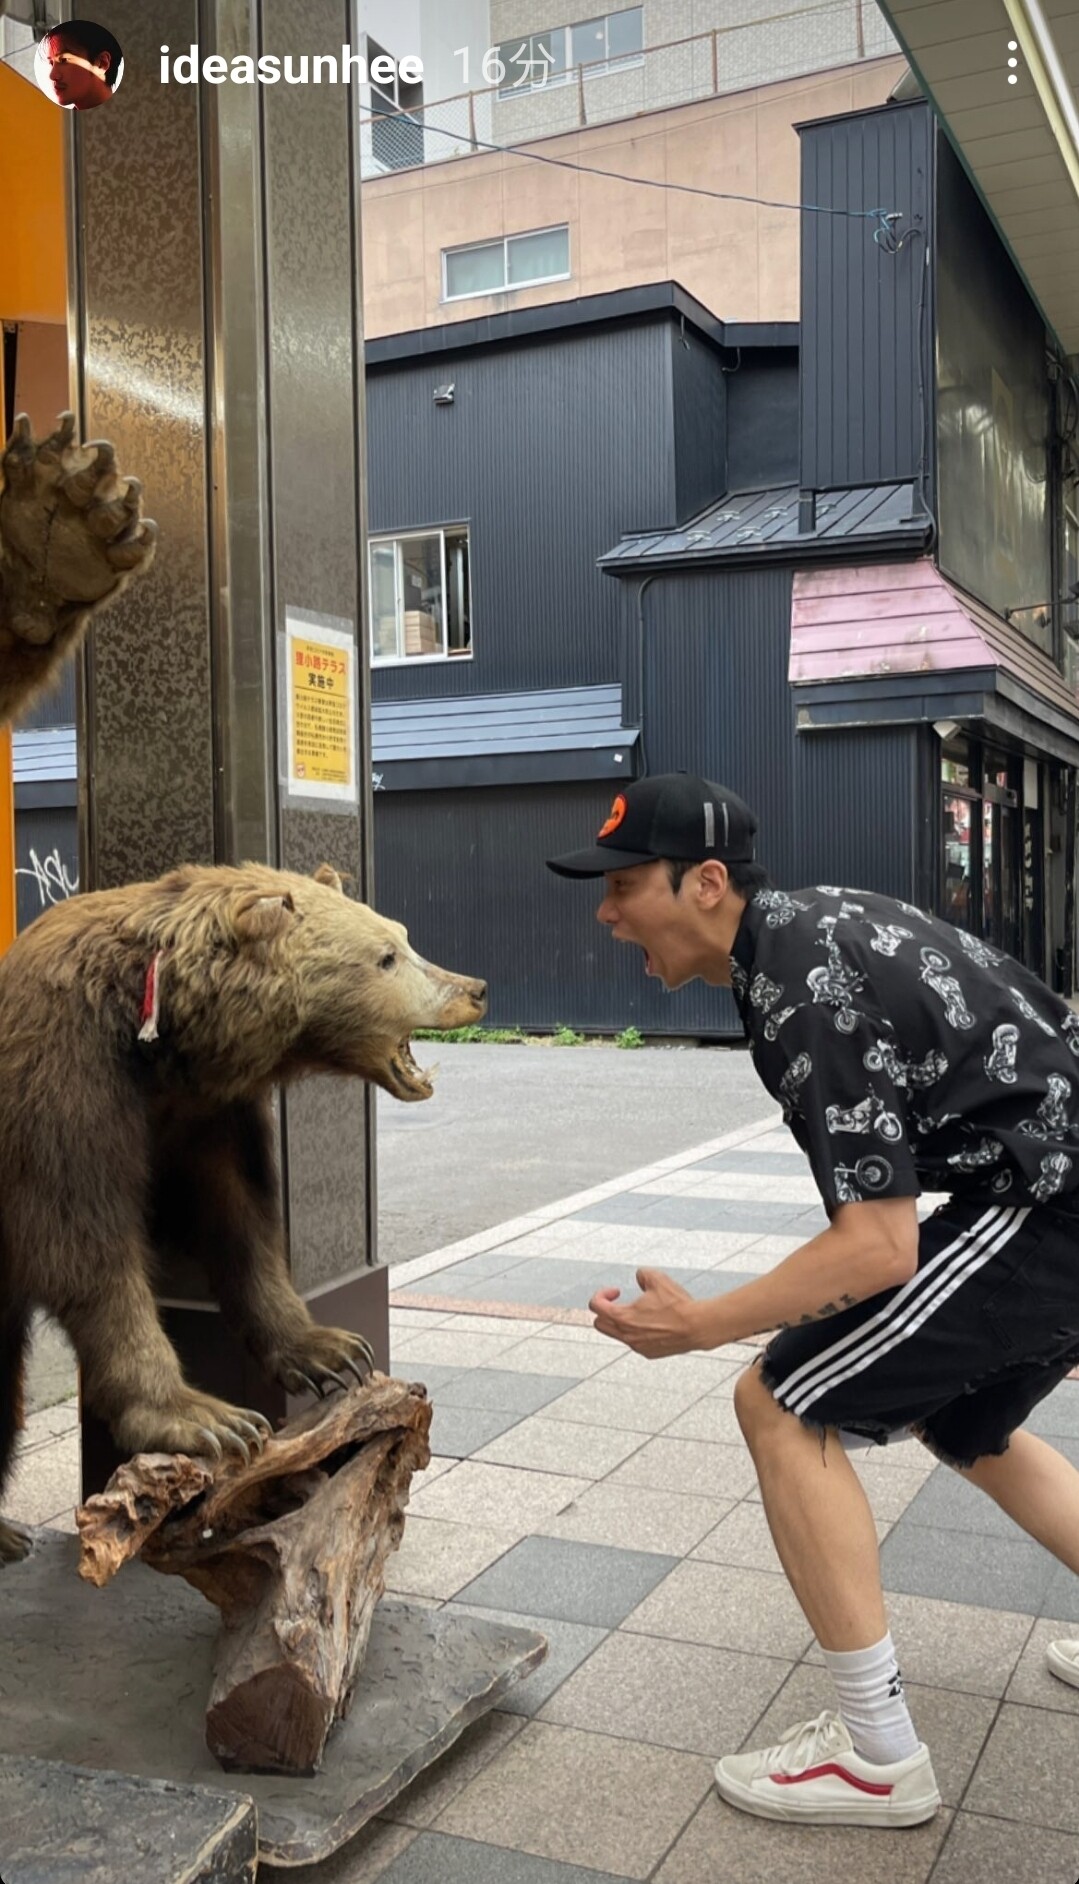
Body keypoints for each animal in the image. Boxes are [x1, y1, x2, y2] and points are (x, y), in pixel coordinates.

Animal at [0, 860, 487, 1564]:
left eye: (401, 935)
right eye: (387, 956)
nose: (475, 988)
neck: (161, 1044)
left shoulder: (205, 1117)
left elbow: (242, 1219)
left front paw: (331, 1349)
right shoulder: (63, 1085)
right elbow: (85, 1248)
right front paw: (210, 1418)